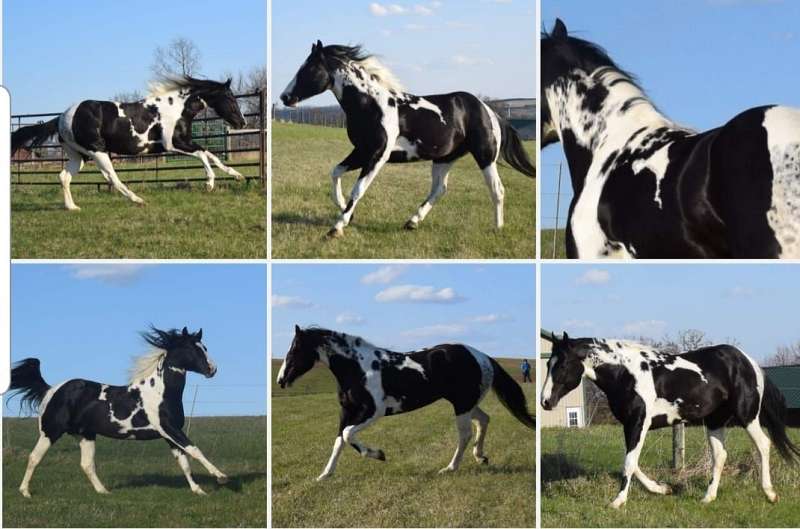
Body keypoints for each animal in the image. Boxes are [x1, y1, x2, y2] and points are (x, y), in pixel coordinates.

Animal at [8, 326, 229, 497]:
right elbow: (194, 450)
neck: (160, 393)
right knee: (34, 458)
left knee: (87, 465)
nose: (212, 369)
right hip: (50, 432)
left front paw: (198, 490)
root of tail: (51, 390)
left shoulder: (169, 435)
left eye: (205, 348)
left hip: (85, 435)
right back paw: (25, 492)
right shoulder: (169, 429)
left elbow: (184, 462)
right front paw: (221, 477)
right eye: (192, 349)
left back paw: (104, 491)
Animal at [11, 76, 247, 209]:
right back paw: (138, 200)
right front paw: (210, 183)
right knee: (112, 178)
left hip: (79, 156)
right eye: (230, 98)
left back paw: (72, 207)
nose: (242, 122)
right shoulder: (173, 145)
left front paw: (237, 176)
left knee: (64, 177)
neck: (177, 108)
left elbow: (210, 154)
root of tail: (61, 117)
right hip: (98, 152)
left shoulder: (184, 141)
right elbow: (202, 154)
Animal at [276, 326, 535, 480]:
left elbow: (348, 435)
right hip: (466, 403)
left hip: (461, 405)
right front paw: (324, 475)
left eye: (295, 349)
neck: (358, 369)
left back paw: (450, 468)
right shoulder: (346, 411)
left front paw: (378, 454)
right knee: (483, 420)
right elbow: (340, 441)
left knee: (465, 434)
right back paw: (480, 457)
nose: (280, 380)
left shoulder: (372, 412)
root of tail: (482, 356)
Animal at [279, 41, 535, 238]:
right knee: (440, 189)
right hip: (444, 158)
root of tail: (488, 109)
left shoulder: (377, 155)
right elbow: (335, 173)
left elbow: (358, 189)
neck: (372, 105)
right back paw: (412, 222)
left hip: (484, 156)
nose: (284, 97)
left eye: (307, 70)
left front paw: (337, 227)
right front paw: (346, 213)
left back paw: (497, 228)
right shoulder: (361, 151)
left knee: (497, 189)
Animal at [540, 331, 800, 508]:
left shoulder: (638, 423)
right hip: (715, 420)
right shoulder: (630, 425)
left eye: (562, 364)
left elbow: (629, 463)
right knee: (720, 455)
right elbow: (632, 462)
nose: (545, 401)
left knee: (763, 445)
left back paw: (770, 494)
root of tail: (749, 362)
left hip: (747, 416)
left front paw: (618, 502)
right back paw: (708, 497)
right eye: (548, 363)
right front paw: (662, 489)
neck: (626, 374)